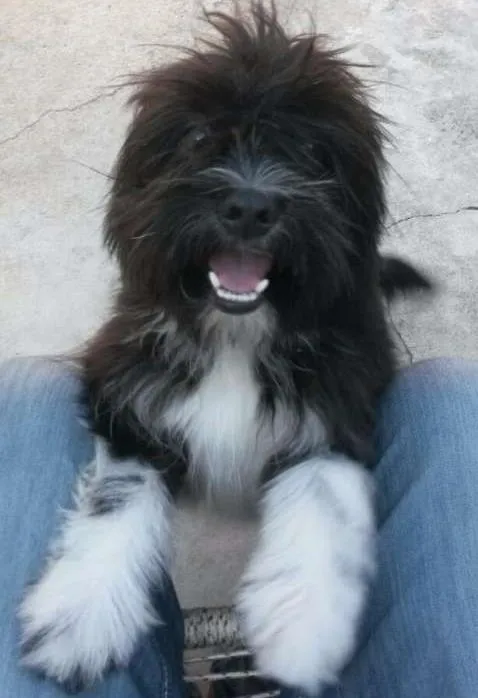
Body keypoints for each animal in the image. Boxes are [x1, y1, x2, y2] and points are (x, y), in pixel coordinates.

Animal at [19, 3, 432, 694]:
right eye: (194, 138)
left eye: (313, 150)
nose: (249, 205)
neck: (237, 338)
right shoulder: (126, 391)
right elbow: (117, 492)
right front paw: (80, 616)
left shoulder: (342, 401)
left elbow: (322, 493)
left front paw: (302, 628)